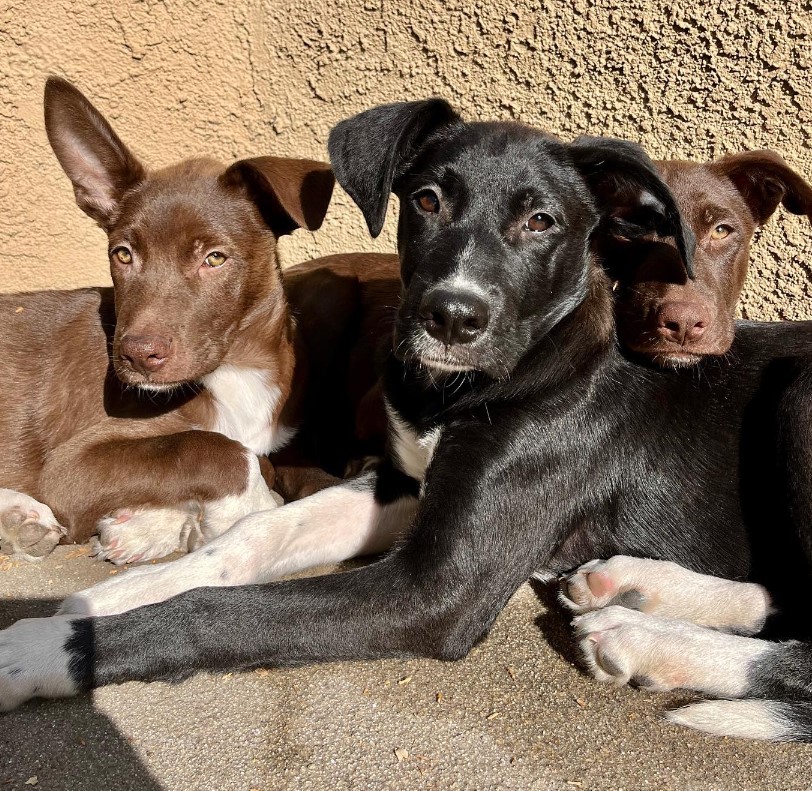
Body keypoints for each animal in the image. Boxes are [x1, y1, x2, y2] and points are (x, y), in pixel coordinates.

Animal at [0, 100, 808, 744]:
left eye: (540, 221)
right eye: (425, 200)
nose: (451, 316)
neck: (468, 388)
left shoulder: (435, 589)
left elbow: (217, 612)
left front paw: (45, 652)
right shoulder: (403, 484)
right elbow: (249, 539)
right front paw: (91, 604)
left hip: (796, 398)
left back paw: (643, 636)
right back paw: (632, 594)